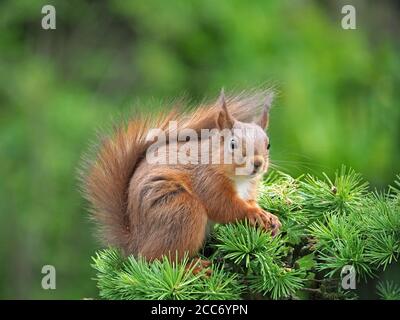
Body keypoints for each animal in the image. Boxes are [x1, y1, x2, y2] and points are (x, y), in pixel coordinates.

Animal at [81, 89, 282, 262]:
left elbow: (248, 202)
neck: (240, 180)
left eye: (268, 144)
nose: (258, 163)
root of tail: (135, 244)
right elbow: (223, 206)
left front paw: (269, 217)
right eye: (233, 144)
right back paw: (195, 268)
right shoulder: (207, 181)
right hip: (181, 211)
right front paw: (254, 213)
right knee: (159, 260)